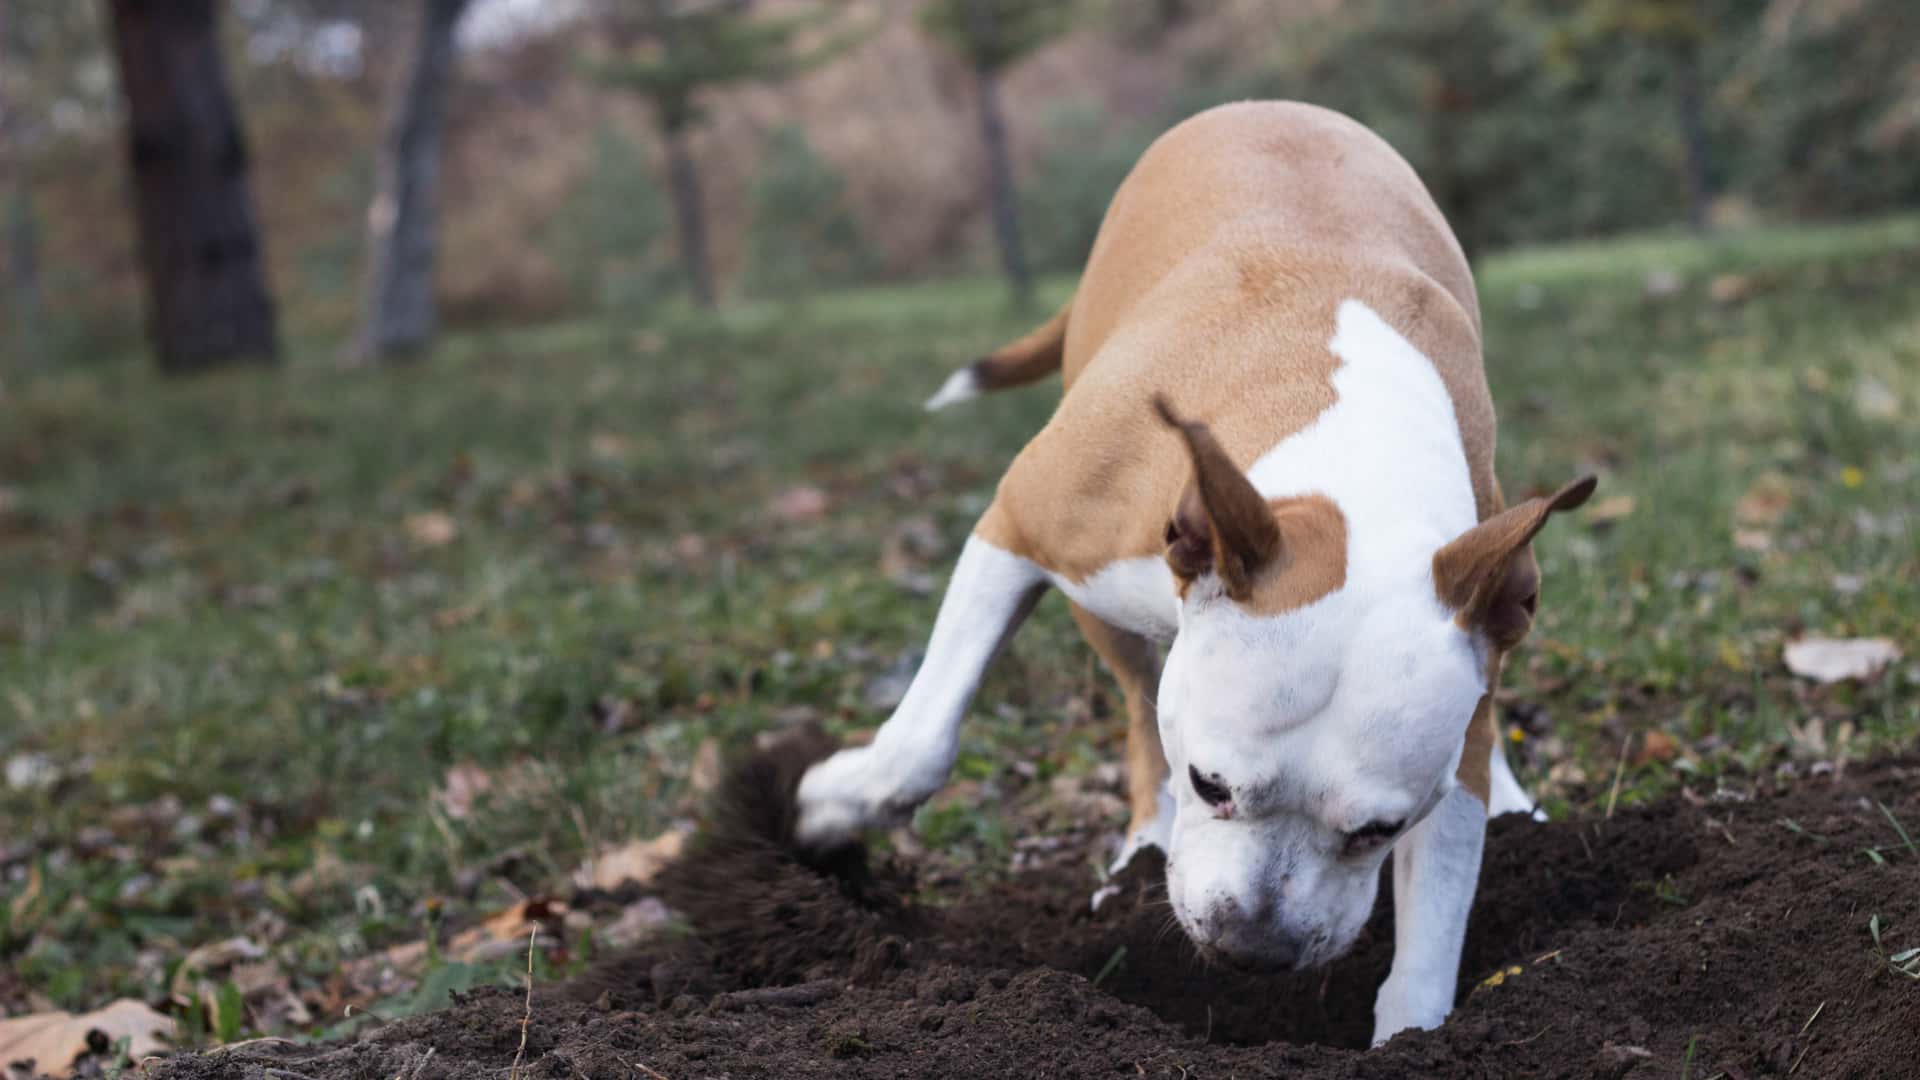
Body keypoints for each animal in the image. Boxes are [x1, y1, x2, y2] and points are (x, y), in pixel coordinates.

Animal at [791, 102, 1589, 1045]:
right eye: (1213, 785)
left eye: (1379, 828)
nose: (1256, 948)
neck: (1350, 459)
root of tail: (1270, 104)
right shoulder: (1018, 529)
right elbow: (924, 736)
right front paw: (837, 806)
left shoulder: (1461, 674)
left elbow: (1440, 891)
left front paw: (1415, 1033)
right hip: (1103, 607)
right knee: (1140, 704)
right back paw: (1142, 845)